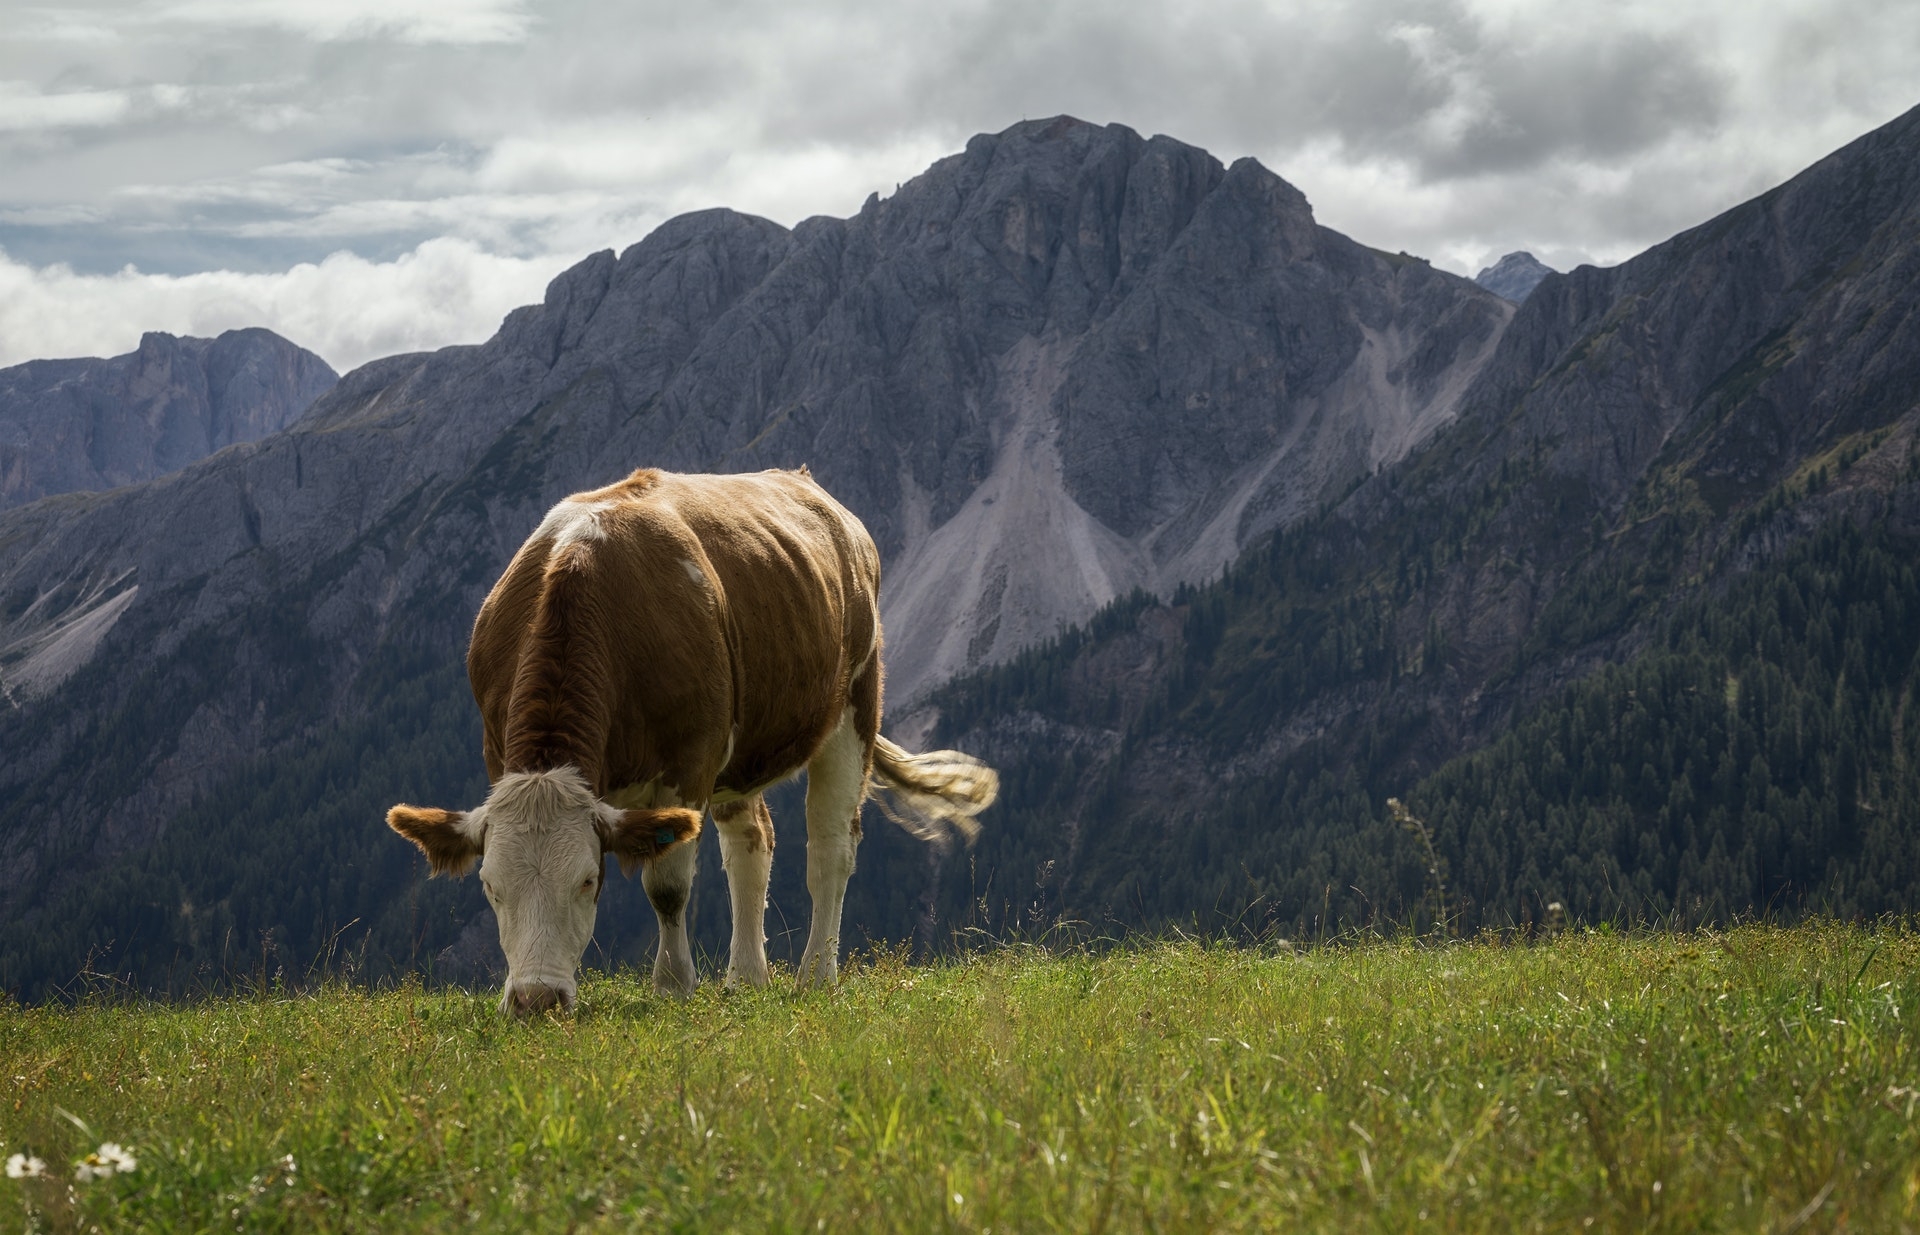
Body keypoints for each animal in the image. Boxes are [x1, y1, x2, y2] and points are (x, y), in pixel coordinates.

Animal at [384, 468, 998, 1021]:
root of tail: (808, 485)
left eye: (587, 881)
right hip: (742, 754)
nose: (536, 1002)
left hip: (853, 709)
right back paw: (746, 976)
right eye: (490, 886)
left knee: (830, 849)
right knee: (753, 841)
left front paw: (674, 985)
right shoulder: (496, 749)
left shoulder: (690, 761)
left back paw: (815, 975)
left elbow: (667, 887)